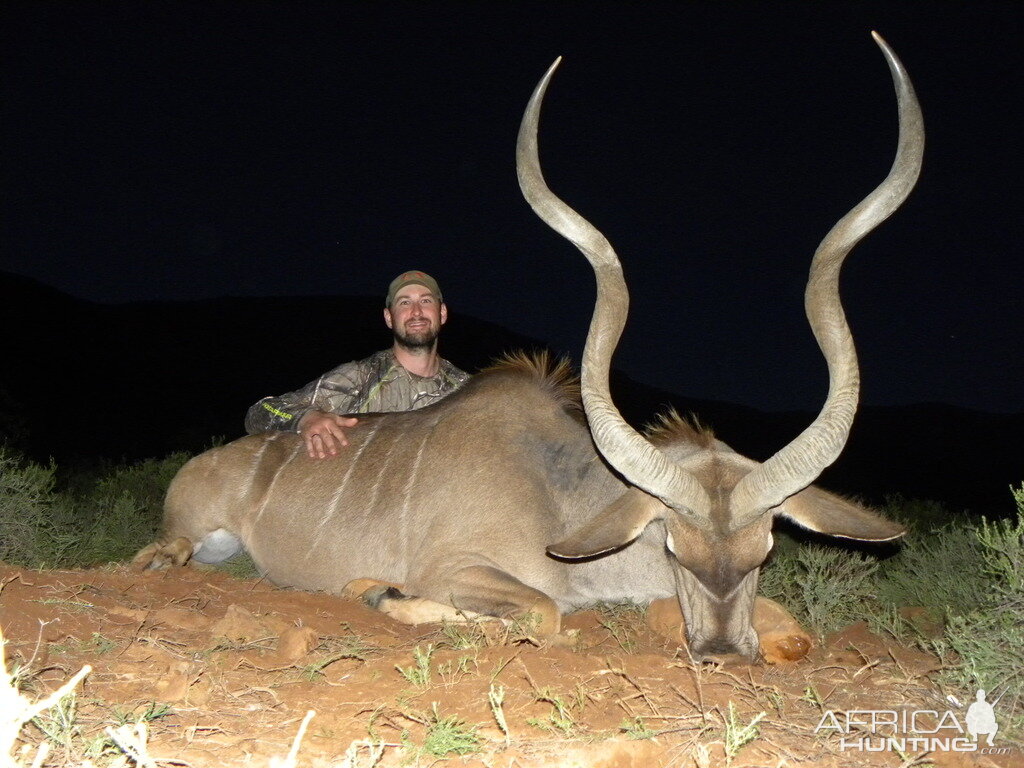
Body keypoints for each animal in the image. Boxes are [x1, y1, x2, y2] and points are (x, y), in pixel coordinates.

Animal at [132, 33, 925, 663]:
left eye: (765, 550)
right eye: (673, 544)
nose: (724, 653)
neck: (561, 497)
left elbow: (793, 633)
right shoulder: (461, 569)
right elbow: (543, 615)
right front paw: (377, 593)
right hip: (184, 535)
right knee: (159, 556)